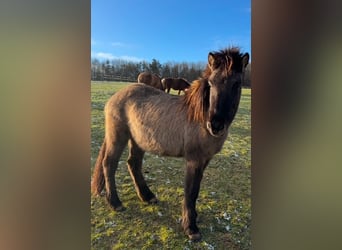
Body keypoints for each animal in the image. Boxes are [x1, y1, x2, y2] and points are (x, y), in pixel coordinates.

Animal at [91, 47, 248, 241]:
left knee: (133, 164)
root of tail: (115, 97)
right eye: (211, 83)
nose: (216, 125)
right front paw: (191, 228)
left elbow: (195, 191)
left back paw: (147, 197)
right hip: (118, 136)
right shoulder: (194, 160)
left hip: (138, 140)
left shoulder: (205, 160)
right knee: (109, 163)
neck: (199, 118)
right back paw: (115, 203)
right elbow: (191, 191)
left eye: (237, 84)